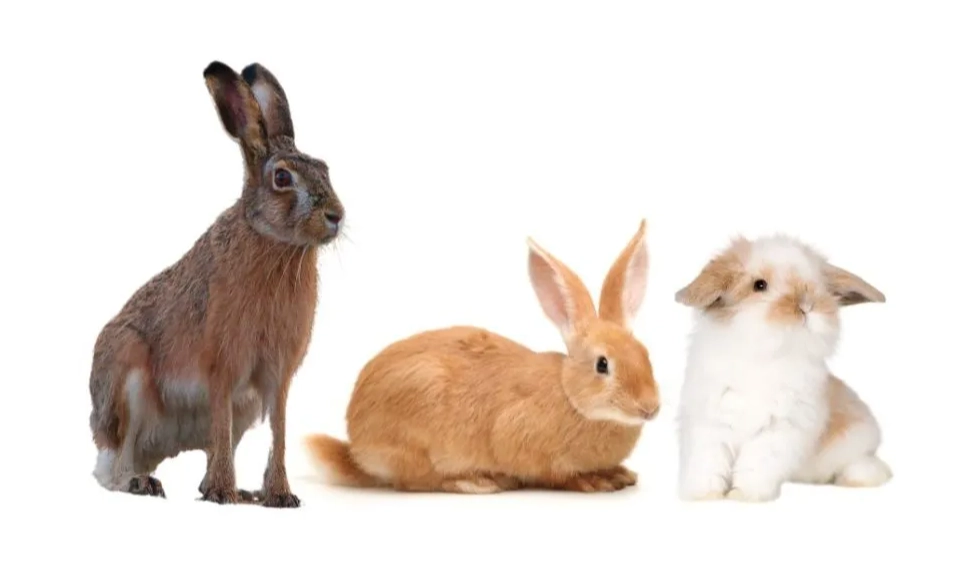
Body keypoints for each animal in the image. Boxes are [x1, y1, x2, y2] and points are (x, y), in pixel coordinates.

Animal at [88, 60, 345, 508]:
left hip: (244, 408)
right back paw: (144, 483)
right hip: (125, 378)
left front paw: (279, 495)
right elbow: (222, 424)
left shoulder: (275, 377)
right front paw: (224, 492)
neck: (272, 242)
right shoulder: (221, 366)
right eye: (282, 178)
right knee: (114, 466)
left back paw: (237, 491)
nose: (337, 216)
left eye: (325, 169)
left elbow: (278, 430)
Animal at [304, 220, 659, 493]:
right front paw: (594, 481)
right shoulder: (520, 439)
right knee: (416, 481)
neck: (571, 398)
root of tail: (358, 449)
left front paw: (620, 474)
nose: (650, 408)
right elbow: (555, 474)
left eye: (645, 354)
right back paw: (477, 482)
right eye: (603, 364)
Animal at [673, 234, 892, 502]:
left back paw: (859, 478)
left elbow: (755, 465)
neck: (765, 357)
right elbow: (708, 463)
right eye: (759, 285)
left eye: (819, 286)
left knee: (868, 465)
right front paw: (705, 495)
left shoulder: (779, 430)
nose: (807, 305)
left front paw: (743, 496)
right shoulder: (710, 424)